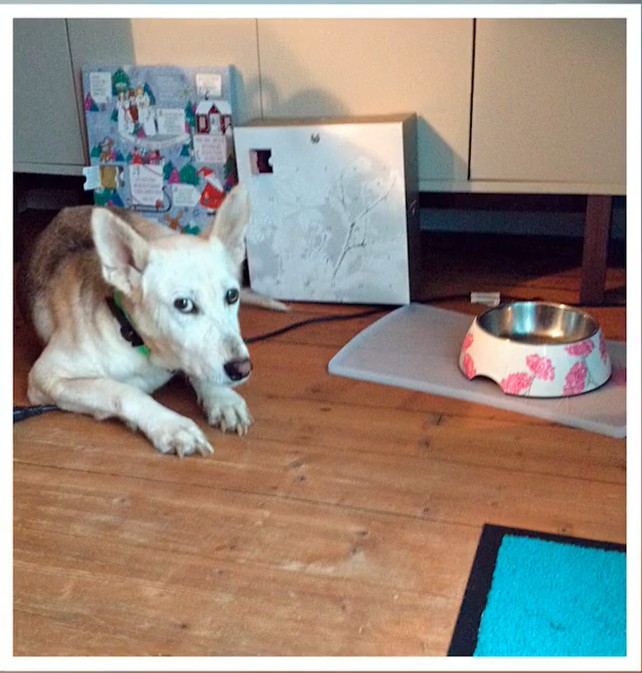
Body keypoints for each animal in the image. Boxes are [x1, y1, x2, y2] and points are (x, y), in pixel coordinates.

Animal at [17, 185, 275, 457]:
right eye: (183, 304)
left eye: (232, 295)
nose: (242, 369)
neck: (133, 336)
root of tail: (75, 208)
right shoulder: (46, 377)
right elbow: (121, 390)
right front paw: (171, 425)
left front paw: (222, 397)